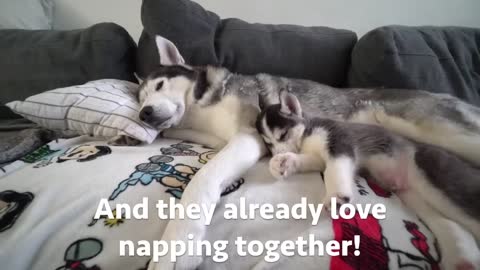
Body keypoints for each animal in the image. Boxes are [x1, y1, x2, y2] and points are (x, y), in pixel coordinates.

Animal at [138, 35, 480, 270]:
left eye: (160, 85)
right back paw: (462, 254)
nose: (144, 113)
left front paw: (176, 246)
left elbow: (202, 181)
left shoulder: (248, 137)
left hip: (443, 132)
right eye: (140, 96)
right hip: (415, 179)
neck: (200, 107)